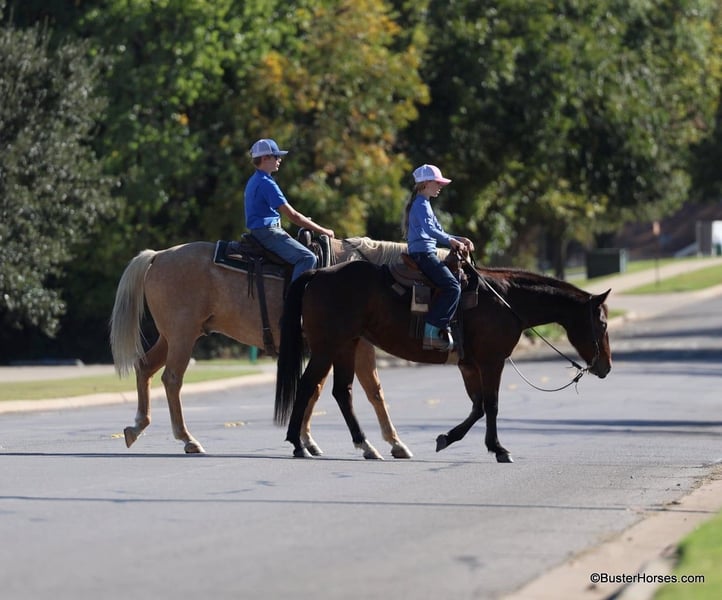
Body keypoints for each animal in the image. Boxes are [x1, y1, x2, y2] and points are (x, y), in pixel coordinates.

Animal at [109, 236, 415, 457]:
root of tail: (158, 256)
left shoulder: (327, 349)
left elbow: (314, 390)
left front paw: (305, 439)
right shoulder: (356, 346)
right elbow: (373, 391)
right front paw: (393, 443)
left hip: (171, 337)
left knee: (144, 367)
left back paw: (137, 427)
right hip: (182, 336)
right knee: (172, 379)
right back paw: (187, 439)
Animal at [274, 256, 612, 462]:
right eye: (603, 323)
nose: (605, 367)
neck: (506, 300)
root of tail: (319, 273)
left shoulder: (469, 365)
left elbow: (478, 407)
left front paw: (447, 438)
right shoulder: (491, 362)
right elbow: (491, 405)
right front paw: (499, 449)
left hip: (347, 345)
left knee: (341, 392)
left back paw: (366, 445)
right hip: (328, 347)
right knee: (307, 387)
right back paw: (298, 444)